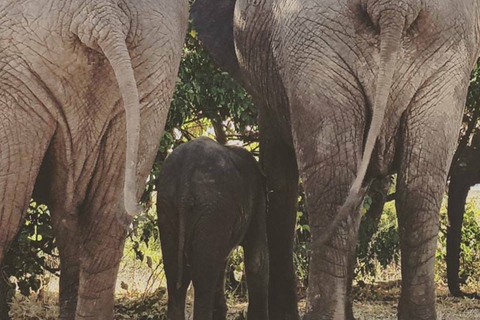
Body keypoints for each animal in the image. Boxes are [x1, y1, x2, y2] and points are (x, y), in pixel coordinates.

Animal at [158, 137, 270, 320]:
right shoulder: (257, 200)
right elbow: (257, 259)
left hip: (168, 204)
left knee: (176, 274)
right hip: (213, 207)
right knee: (203, 279)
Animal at [191, 0, 480, 320]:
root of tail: (393, 7)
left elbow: (280, 179)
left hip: (316, 52)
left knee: (335, 189)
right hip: (439, 53)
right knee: (415, 192)